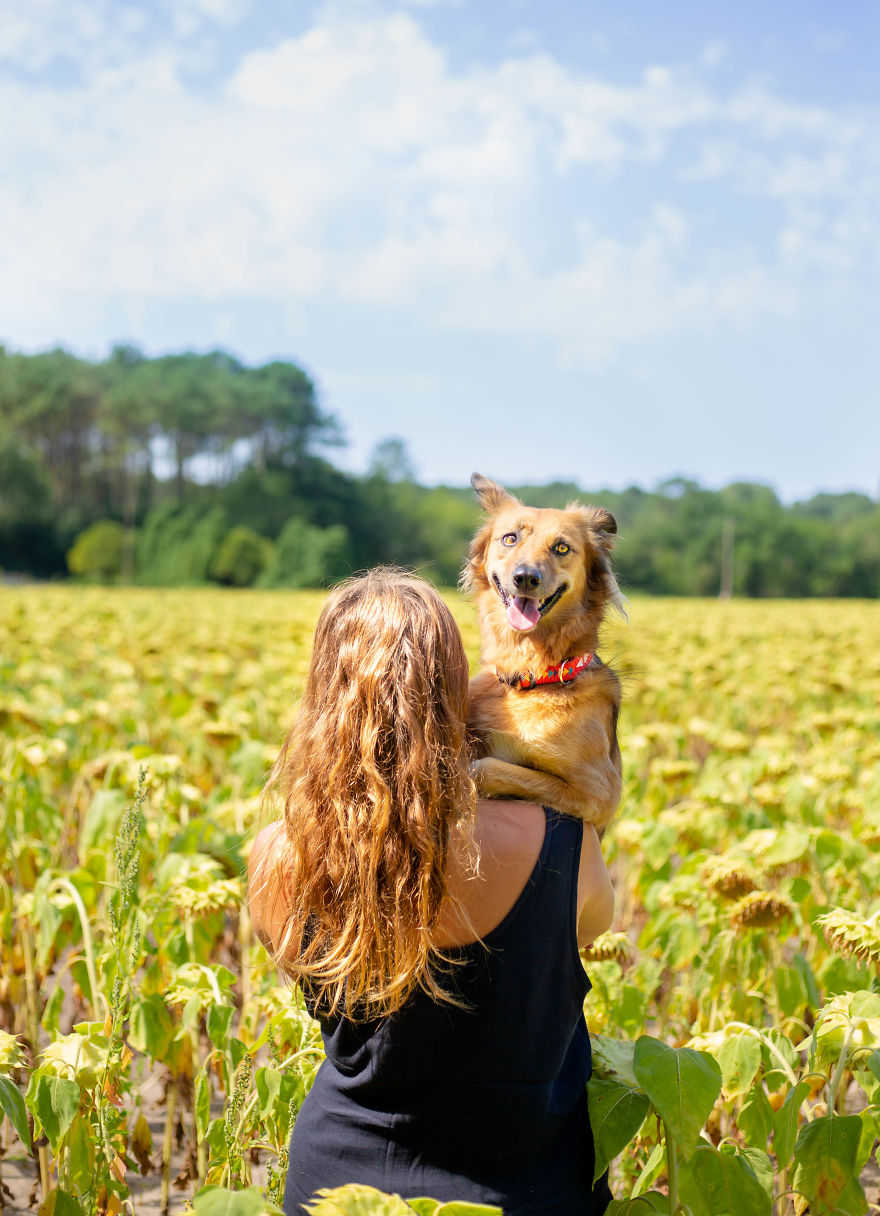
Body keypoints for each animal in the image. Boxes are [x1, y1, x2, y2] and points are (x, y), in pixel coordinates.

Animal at [464, 469, 622, 831]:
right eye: (510, 538)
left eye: (562, 547)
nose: (525, 577)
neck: (531, 676)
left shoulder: (600, 793)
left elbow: (486, 768)